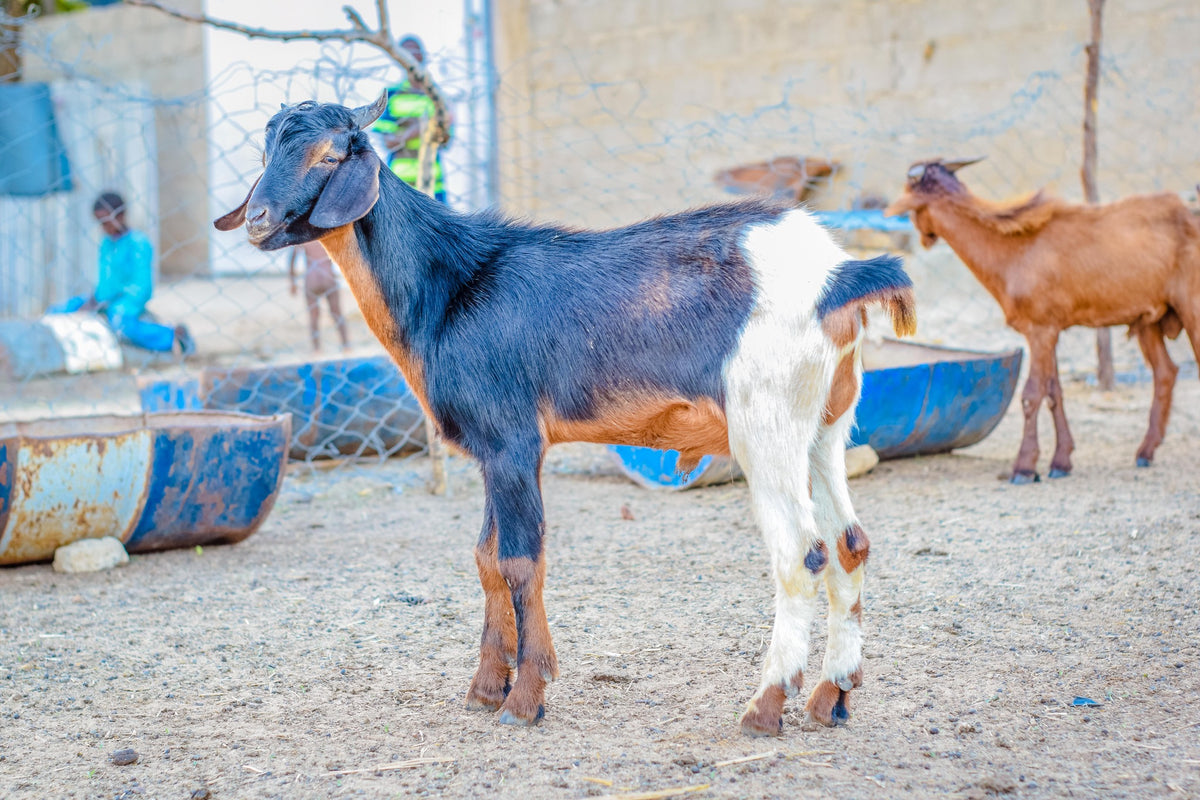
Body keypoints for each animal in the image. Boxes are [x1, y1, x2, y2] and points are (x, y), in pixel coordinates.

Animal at [215, 95, 917, 736]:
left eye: (330, 155)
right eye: (266, 151)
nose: (257, 220)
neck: (449, 287)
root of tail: (839, 273)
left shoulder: (513, 441)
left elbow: (521, 561)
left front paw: (525, 698)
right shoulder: (494, 451)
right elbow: (485, 556)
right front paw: (485, 687)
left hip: (765, 425)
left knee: (802, 552)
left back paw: (765, 706)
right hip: (824, 426)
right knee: (850, 543)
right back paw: (831, 697)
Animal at [886, 158, 1200, 483]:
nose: (924, 238)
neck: (1012, 248)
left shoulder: (1040, 331)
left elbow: (1031, 394)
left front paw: (1025, 467)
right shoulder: (1050, 330)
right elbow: (1054, 393)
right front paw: (1060, 462)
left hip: (1191, 306)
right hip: (1149, 319)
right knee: (1165, 372)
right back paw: (1145, 452)